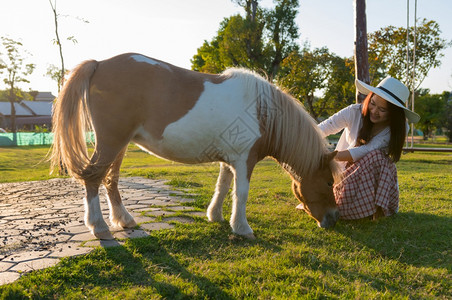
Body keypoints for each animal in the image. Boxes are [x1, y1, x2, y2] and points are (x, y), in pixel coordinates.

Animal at [50, 51, 340, 239]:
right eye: (329, 182)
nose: (334, 218)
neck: (263, 110)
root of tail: (99, 64)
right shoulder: (244, 160)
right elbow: (241, 193)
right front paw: (243, 228)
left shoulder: (229, 160)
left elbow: (222, 187)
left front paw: (216, 216)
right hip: (111, 142)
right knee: (94, 178)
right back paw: (98, 226)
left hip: (119, 145)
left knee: (111, 180)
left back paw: (124, 220)